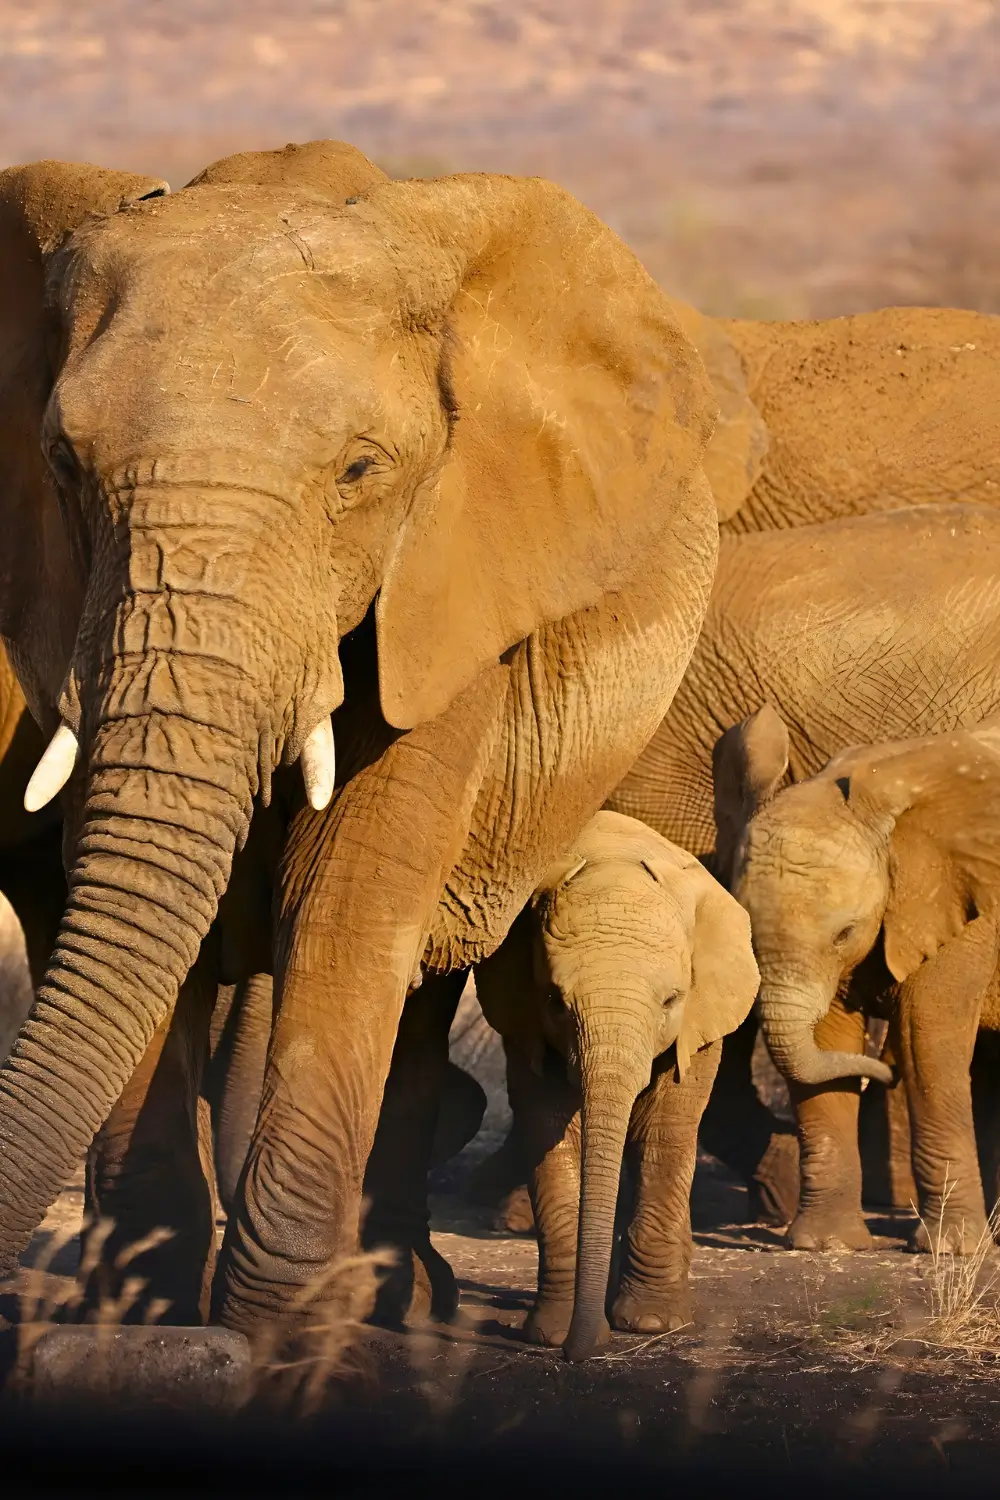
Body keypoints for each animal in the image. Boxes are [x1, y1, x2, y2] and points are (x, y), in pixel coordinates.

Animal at [0, 138, 720, 1338]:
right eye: (62, 462)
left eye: (360, 472)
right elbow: (125, 892)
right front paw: (153, 1315)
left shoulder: (452, 581)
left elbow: (346, 894)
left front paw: (271, 1329)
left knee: (419, 979)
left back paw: (397, 1298)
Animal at [475, 811, 758, 1361]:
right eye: (553, 1000)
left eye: (672, 1000)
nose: (579, 1352)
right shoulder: (523, 1024)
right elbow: (549, 1132)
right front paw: (551, 1334)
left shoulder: (699, 1020)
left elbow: (664, 1132)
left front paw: (650, 1324)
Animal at [721, 710, 1000, 1254]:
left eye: (844, 933)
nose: (881, 1071)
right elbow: (830, 1035)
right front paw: (825, 1244)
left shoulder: (960, 903)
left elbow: (927, 1032)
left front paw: (950, 1250)